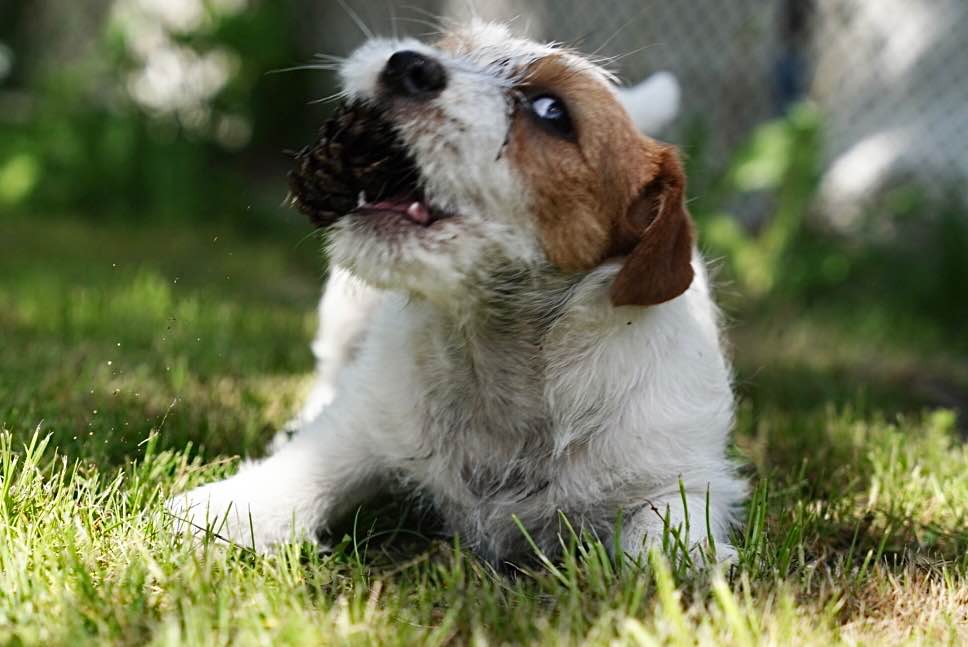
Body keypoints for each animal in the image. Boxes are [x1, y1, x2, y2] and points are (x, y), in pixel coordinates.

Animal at [170, 21, 748, 568]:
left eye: (552, 112)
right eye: (451, 48)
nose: (406, 64)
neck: (495, 344)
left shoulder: (678, 478)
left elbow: (663, 546)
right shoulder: (363, 424)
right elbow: (303, 471)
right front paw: (215, 510)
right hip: (344, 312)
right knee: (329, 372)